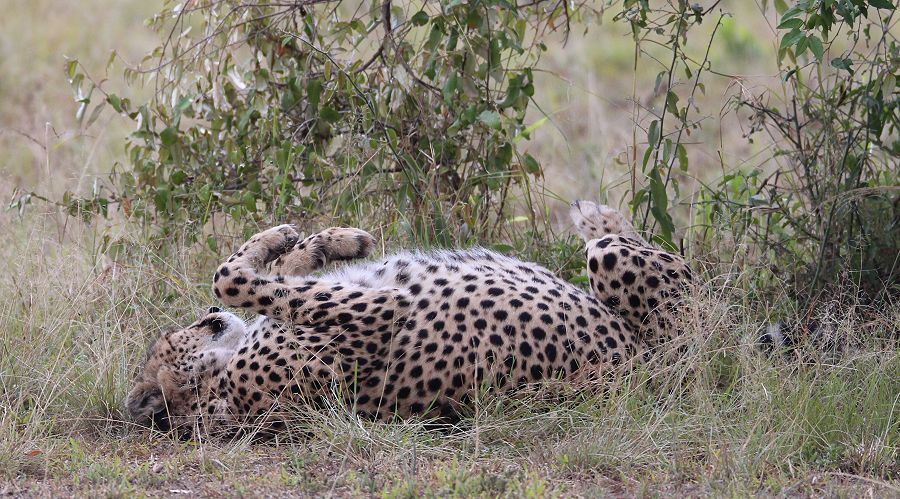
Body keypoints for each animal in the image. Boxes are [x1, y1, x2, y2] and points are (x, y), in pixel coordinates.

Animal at [125, 202, 688, 434]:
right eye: (170, 343)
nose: (207, 318)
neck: (218, 388)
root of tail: (640, 370)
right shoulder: (384, 310)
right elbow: (229, 277)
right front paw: (286, 239)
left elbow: (273, 276)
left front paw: (325, 241)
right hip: (619, 269)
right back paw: (600, 215)